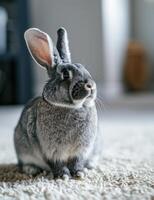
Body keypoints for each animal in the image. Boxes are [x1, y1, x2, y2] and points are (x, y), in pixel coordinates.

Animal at [13, 27, 97, 179]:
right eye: (65, 74)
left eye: (83, 67)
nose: (90, 86)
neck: (72, 106)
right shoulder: (50, 150)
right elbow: (57, 164)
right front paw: (63, 176)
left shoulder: (81, 150)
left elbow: (77, 162)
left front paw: (79, 173)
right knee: (22, 164)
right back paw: (31, 170)